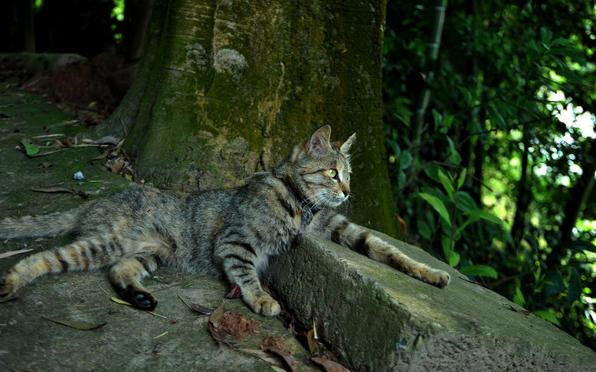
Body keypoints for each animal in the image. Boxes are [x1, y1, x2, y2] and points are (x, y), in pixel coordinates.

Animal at [0, 126, 448, 316]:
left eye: (349, 175)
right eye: (332, 173)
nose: (349, 192)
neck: (301, 208)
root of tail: (95, 202)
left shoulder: (337, 227)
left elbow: (385, 248)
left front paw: (430, 273)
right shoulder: (235, 242)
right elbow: (247, 275)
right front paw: (263, 299)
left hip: (149, 253)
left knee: (119, 270)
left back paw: (140, 297)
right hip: (106, 241)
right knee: (43, 258)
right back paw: (12, 281)